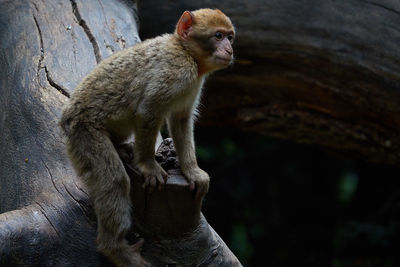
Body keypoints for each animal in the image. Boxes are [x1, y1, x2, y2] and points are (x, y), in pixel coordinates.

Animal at [59, 8, 234, 267]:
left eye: (230, 37)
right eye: (218, 36)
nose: (230, 49)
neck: (187, 53)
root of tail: (66, 118)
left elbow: (181, 120)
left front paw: (191, 170)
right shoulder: (177, 70)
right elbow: (148, 110)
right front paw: (149, 166)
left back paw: (121, 147)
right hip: (83, 133)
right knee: (114, 180)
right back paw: (115, 248)